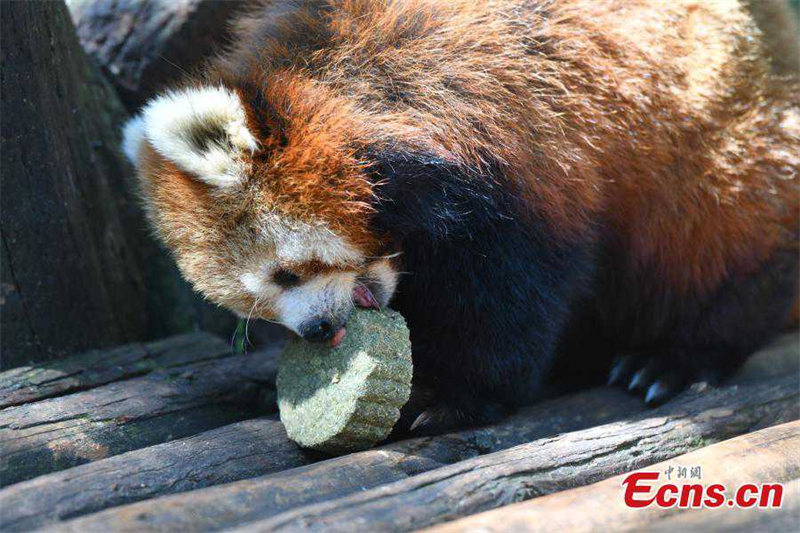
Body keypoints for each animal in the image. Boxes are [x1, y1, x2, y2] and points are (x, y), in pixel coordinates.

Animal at [123, 0, 800, 432]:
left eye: (286, 274)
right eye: (258, 306)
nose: (317, 331)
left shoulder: (521, 160)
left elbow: (509, 295)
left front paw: (452, 399)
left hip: (716, 152)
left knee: (719, 241)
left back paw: (675, 356)